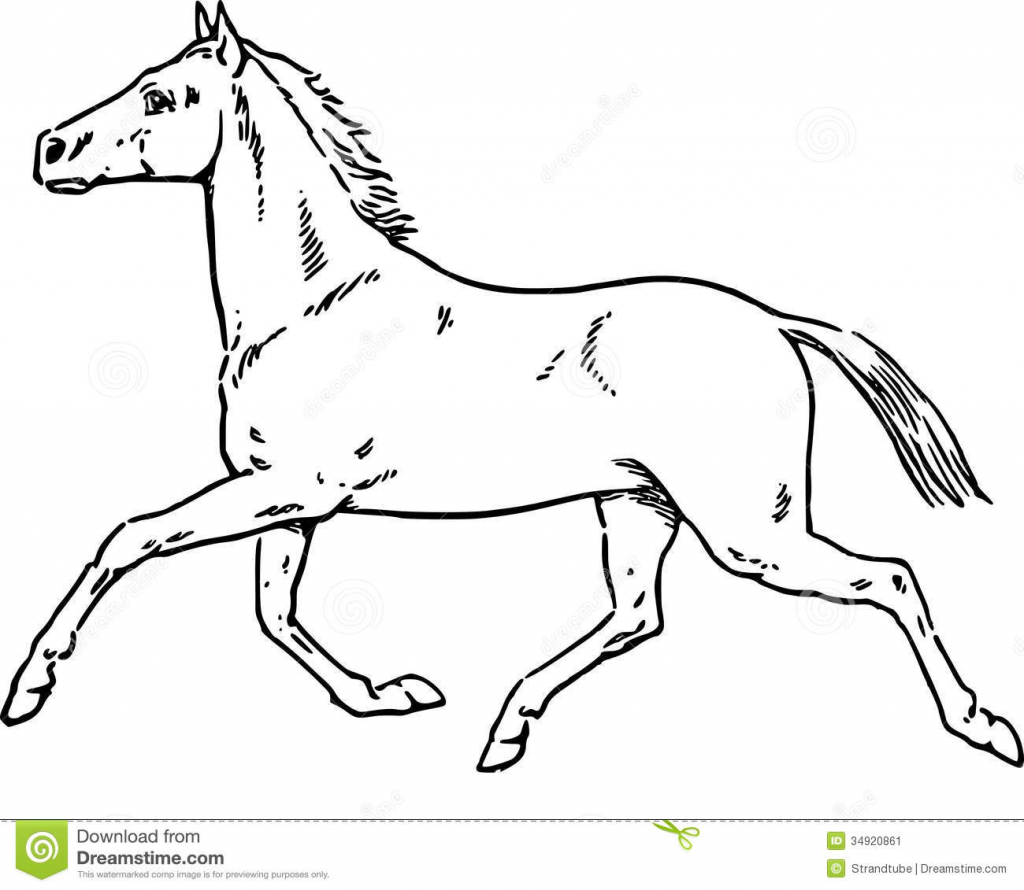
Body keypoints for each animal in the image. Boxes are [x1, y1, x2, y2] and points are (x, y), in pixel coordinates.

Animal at [6, 1, 1020, 772]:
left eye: (162, 94)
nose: (49, 149)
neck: (311, 302)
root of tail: (772, 320)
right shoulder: (288, 498)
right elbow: (274, 613)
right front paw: (388, 697)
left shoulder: (295, 488)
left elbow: (130, 538)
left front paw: (28, 691)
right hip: (638, 505)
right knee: (637, 614)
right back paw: (504, 730)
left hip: (749, 529)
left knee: (889, 576)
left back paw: (984, 729)